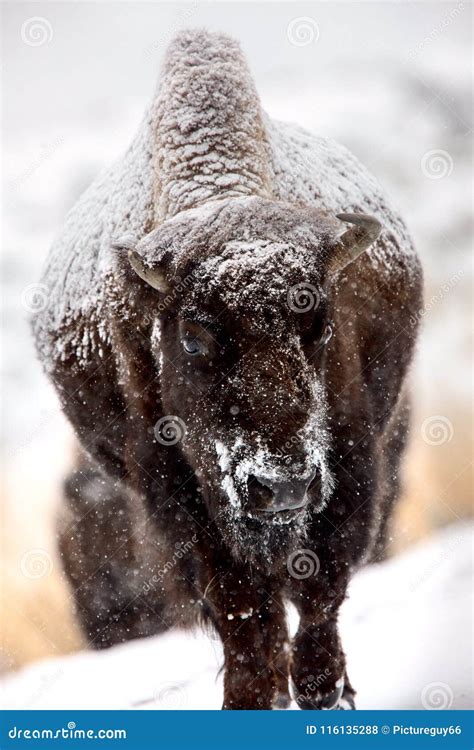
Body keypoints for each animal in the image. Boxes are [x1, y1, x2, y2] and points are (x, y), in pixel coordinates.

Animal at [33, 29, 422, 712]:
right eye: (193, 336)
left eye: (320, 325)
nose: (282, 486)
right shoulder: (178, 497)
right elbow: (242, 609)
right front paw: (251, 698)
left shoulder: (351, 463)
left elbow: (321, 590)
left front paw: (325, 691)